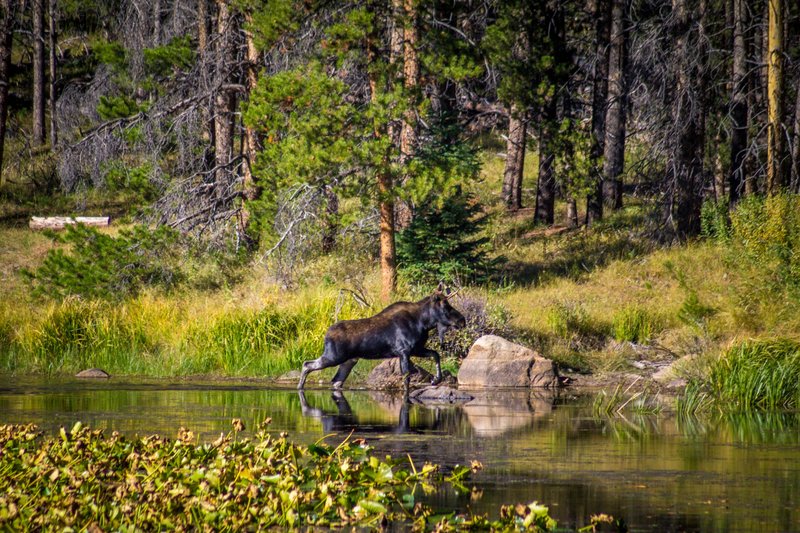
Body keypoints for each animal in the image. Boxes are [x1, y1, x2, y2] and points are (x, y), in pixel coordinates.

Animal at [296, 284, 466, 388]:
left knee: (336, 381)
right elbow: (406, 377)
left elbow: (436, 354)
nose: (462, 320)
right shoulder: (404, 351)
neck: (424, 323)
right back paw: (300, 387)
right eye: (446, 306)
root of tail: (327, 334)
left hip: (348, 360)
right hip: (334, 356)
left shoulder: (417, 349)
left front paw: (436, 379)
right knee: (307, 364)